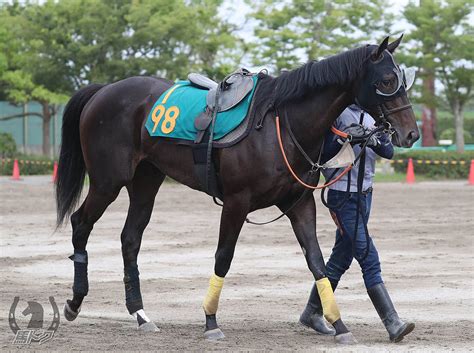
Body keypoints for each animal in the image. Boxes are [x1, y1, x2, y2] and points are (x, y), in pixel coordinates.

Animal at [56, 36, 418, 344]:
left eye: (402, 79)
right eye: (387, 81)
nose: (411, 133)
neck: (278, 125)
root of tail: (104, 91)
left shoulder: (300, 203)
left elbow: (317, 262)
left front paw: (338, 324)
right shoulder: (235, 203)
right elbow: (223, 257)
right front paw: (210, 321)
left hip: (146, 182)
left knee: (130, 239)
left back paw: (141, 315)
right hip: (108, 181)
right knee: (80, 223)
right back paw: (75, 301)